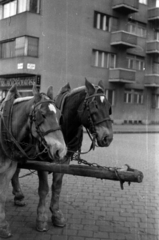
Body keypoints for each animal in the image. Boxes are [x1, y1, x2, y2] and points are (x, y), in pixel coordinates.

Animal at [0, 83, 66, 237]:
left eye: (59, 115)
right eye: (42, 114)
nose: (61, 150)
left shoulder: (8, 170)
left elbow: (2, 196)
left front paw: (3, 226)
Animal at [11, 79, 113, 232]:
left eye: (108, 107)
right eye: (94, 105)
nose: (108, 138)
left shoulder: (64, 160)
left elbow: (57, 186)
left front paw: (56, 213)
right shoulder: (43, 161)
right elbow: (44, 189)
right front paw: (41, 218)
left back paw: (18, 195)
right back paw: (18, 195)